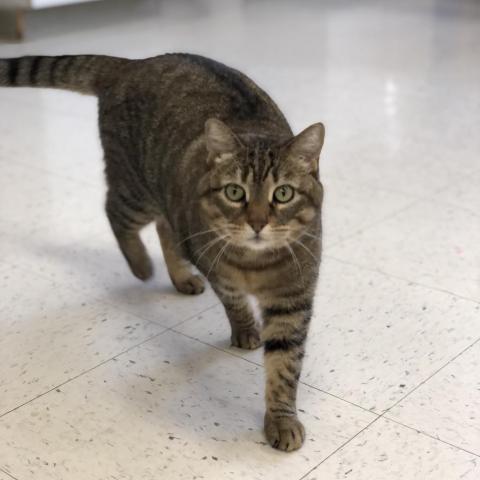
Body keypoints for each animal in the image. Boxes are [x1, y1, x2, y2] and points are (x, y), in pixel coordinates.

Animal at [0, 54, 324, 452]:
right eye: (235, 192)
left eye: (283, 194)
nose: (258, 223)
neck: (252, 263)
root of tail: (134, 64)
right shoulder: (217, 270)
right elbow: (235, 304)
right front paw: (246, 329)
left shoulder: (292, 301)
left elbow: (284, 367)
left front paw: (281, 419)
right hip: (136, 190)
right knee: (115, 212)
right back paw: (141, 266)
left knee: (163, 228)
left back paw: (180, 277)